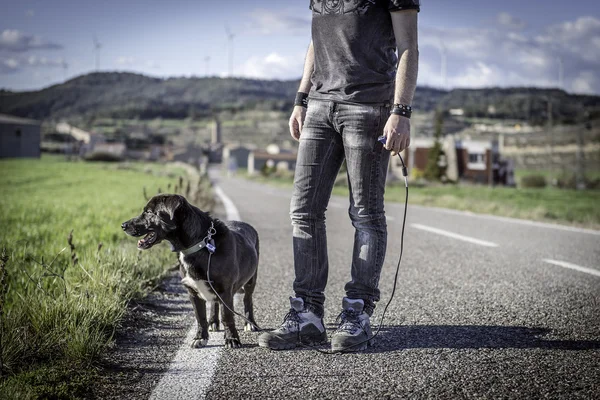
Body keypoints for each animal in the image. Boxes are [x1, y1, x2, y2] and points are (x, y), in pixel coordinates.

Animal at [122, 194, 260, 346]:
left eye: (149, 212)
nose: (123, 225)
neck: (199, 244)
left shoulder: (225, 291)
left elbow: (227, 316)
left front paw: (232, 339)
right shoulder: (193, 292)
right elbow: (200, 317)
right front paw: (200, 337)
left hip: (251, 280)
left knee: (247, 300)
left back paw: (250, 323)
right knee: (215, 303)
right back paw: (213, 322)